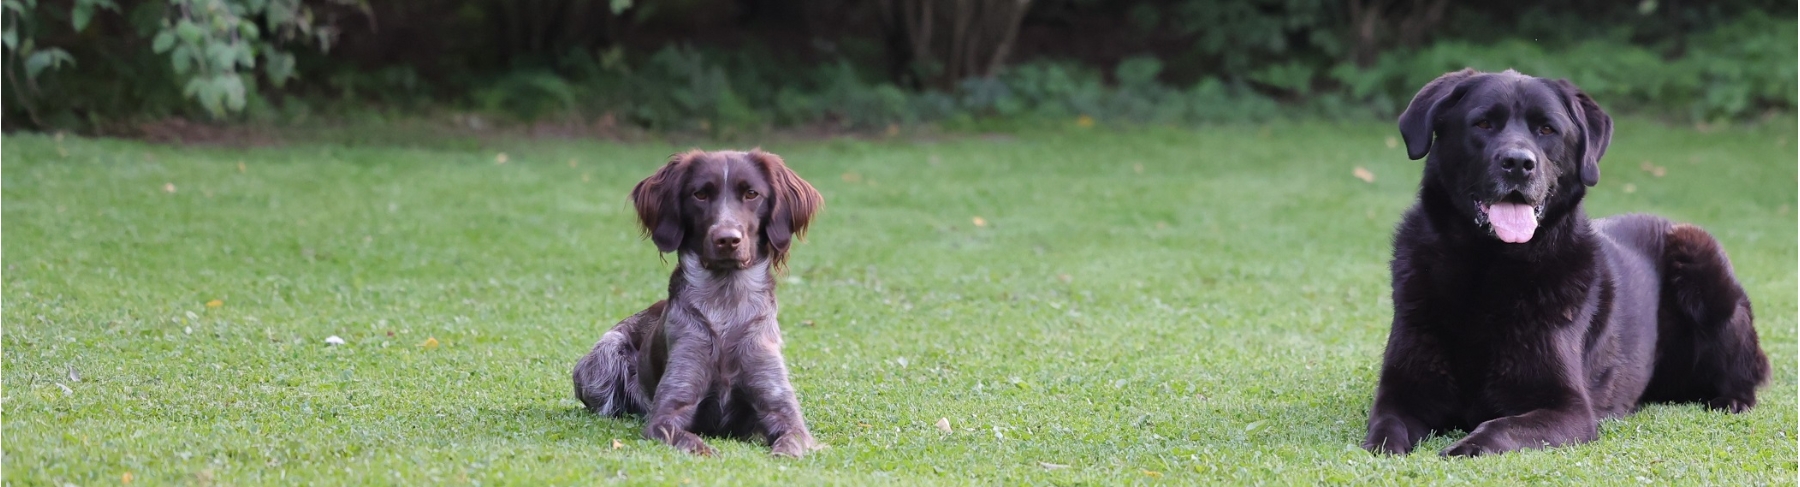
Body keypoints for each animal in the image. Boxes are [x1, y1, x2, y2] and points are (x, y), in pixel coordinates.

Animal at [572, 149, 824, 458]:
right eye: (700, 194)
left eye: (751, 193)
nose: (727, 239)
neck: (726, 303)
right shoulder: (668, 413)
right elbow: (688, 439)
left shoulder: (782, 410)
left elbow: (790, 442)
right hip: (605, 358)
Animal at [1360, 68, 1771, 458]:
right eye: (1483, 124)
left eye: (1547, 129)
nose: (1518, 163)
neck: (1488, 267)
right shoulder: (1402, 393)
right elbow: (1385, 427)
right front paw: (1385, 447)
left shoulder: (1569, 409)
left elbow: (1500, 426)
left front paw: (1466, 446)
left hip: (1700, 257)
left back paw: (1733, 399)